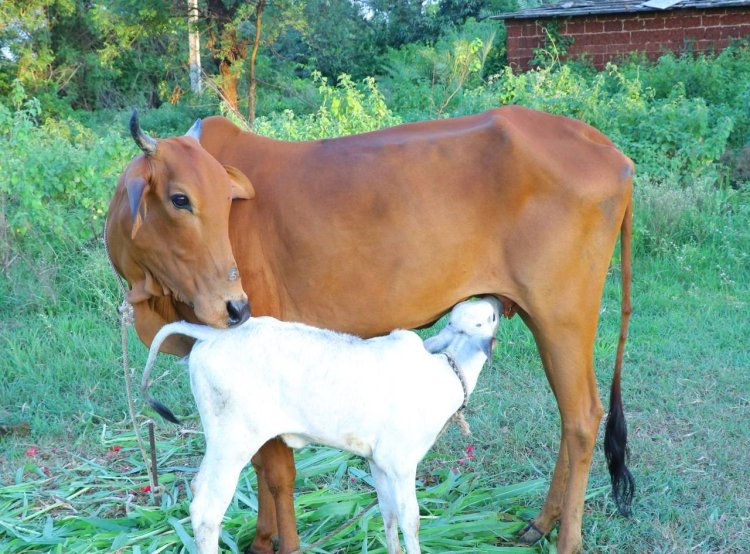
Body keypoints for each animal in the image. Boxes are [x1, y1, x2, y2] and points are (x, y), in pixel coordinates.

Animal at [106, 105, 634, 554]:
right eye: (180, 199)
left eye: (226, 200)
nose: (235, 306)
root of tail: (613, 154)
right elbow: (262, 466)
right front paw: (261, 540)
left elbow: (278, 473)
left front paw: (279, 544)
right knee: (571, 417)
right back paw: (540, 525)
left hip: (561, 315)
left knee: (582, 417)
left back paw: (567, 539)